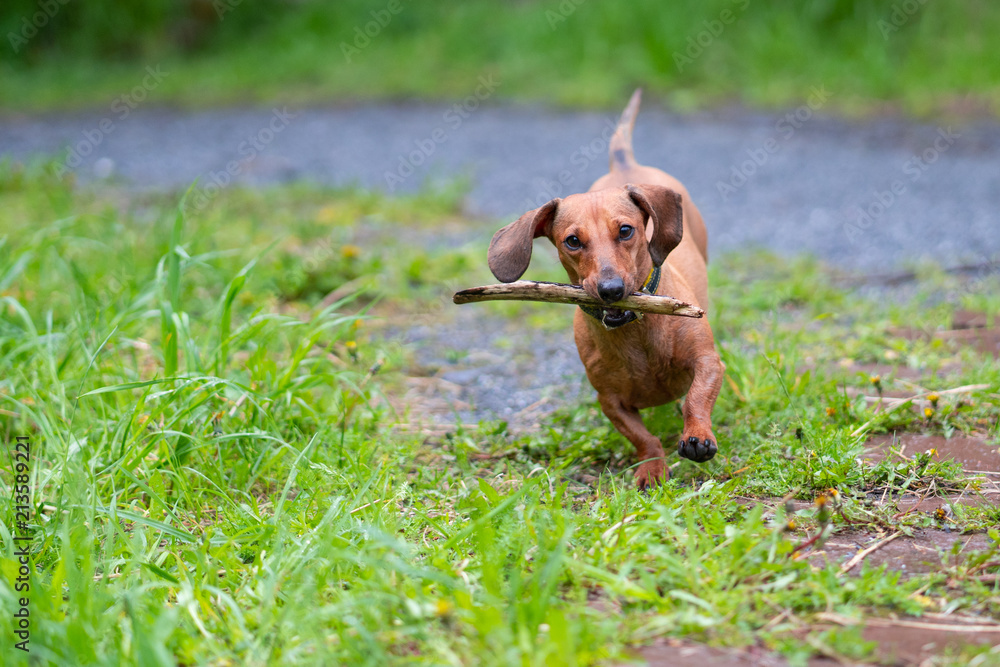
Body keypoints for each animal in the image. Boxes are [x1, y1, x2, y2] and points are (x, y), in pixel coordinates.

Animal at [488, 90, 724, 490]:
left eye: (626, 231)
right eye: (572, 241)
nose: (611, 290)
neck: (635, 332)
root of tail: (624, 163)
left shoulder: (708, 362)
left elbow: (696, 397)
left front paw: (697, 435)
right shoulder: (611, 401)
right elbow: (644, 438)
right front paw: (652, 467)